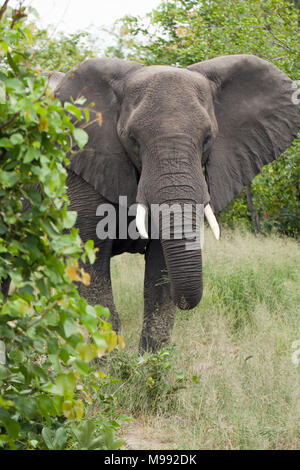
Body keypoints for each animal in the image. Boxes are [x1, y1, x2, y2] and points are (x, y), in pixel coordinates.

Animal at [2, 55, 300, 352]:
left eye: (208, 138)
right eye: (132, 139)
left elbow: (160, 271)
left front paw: (150, 363)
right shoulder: (77, 167)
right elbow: (90, 264)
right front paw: (112, 363)